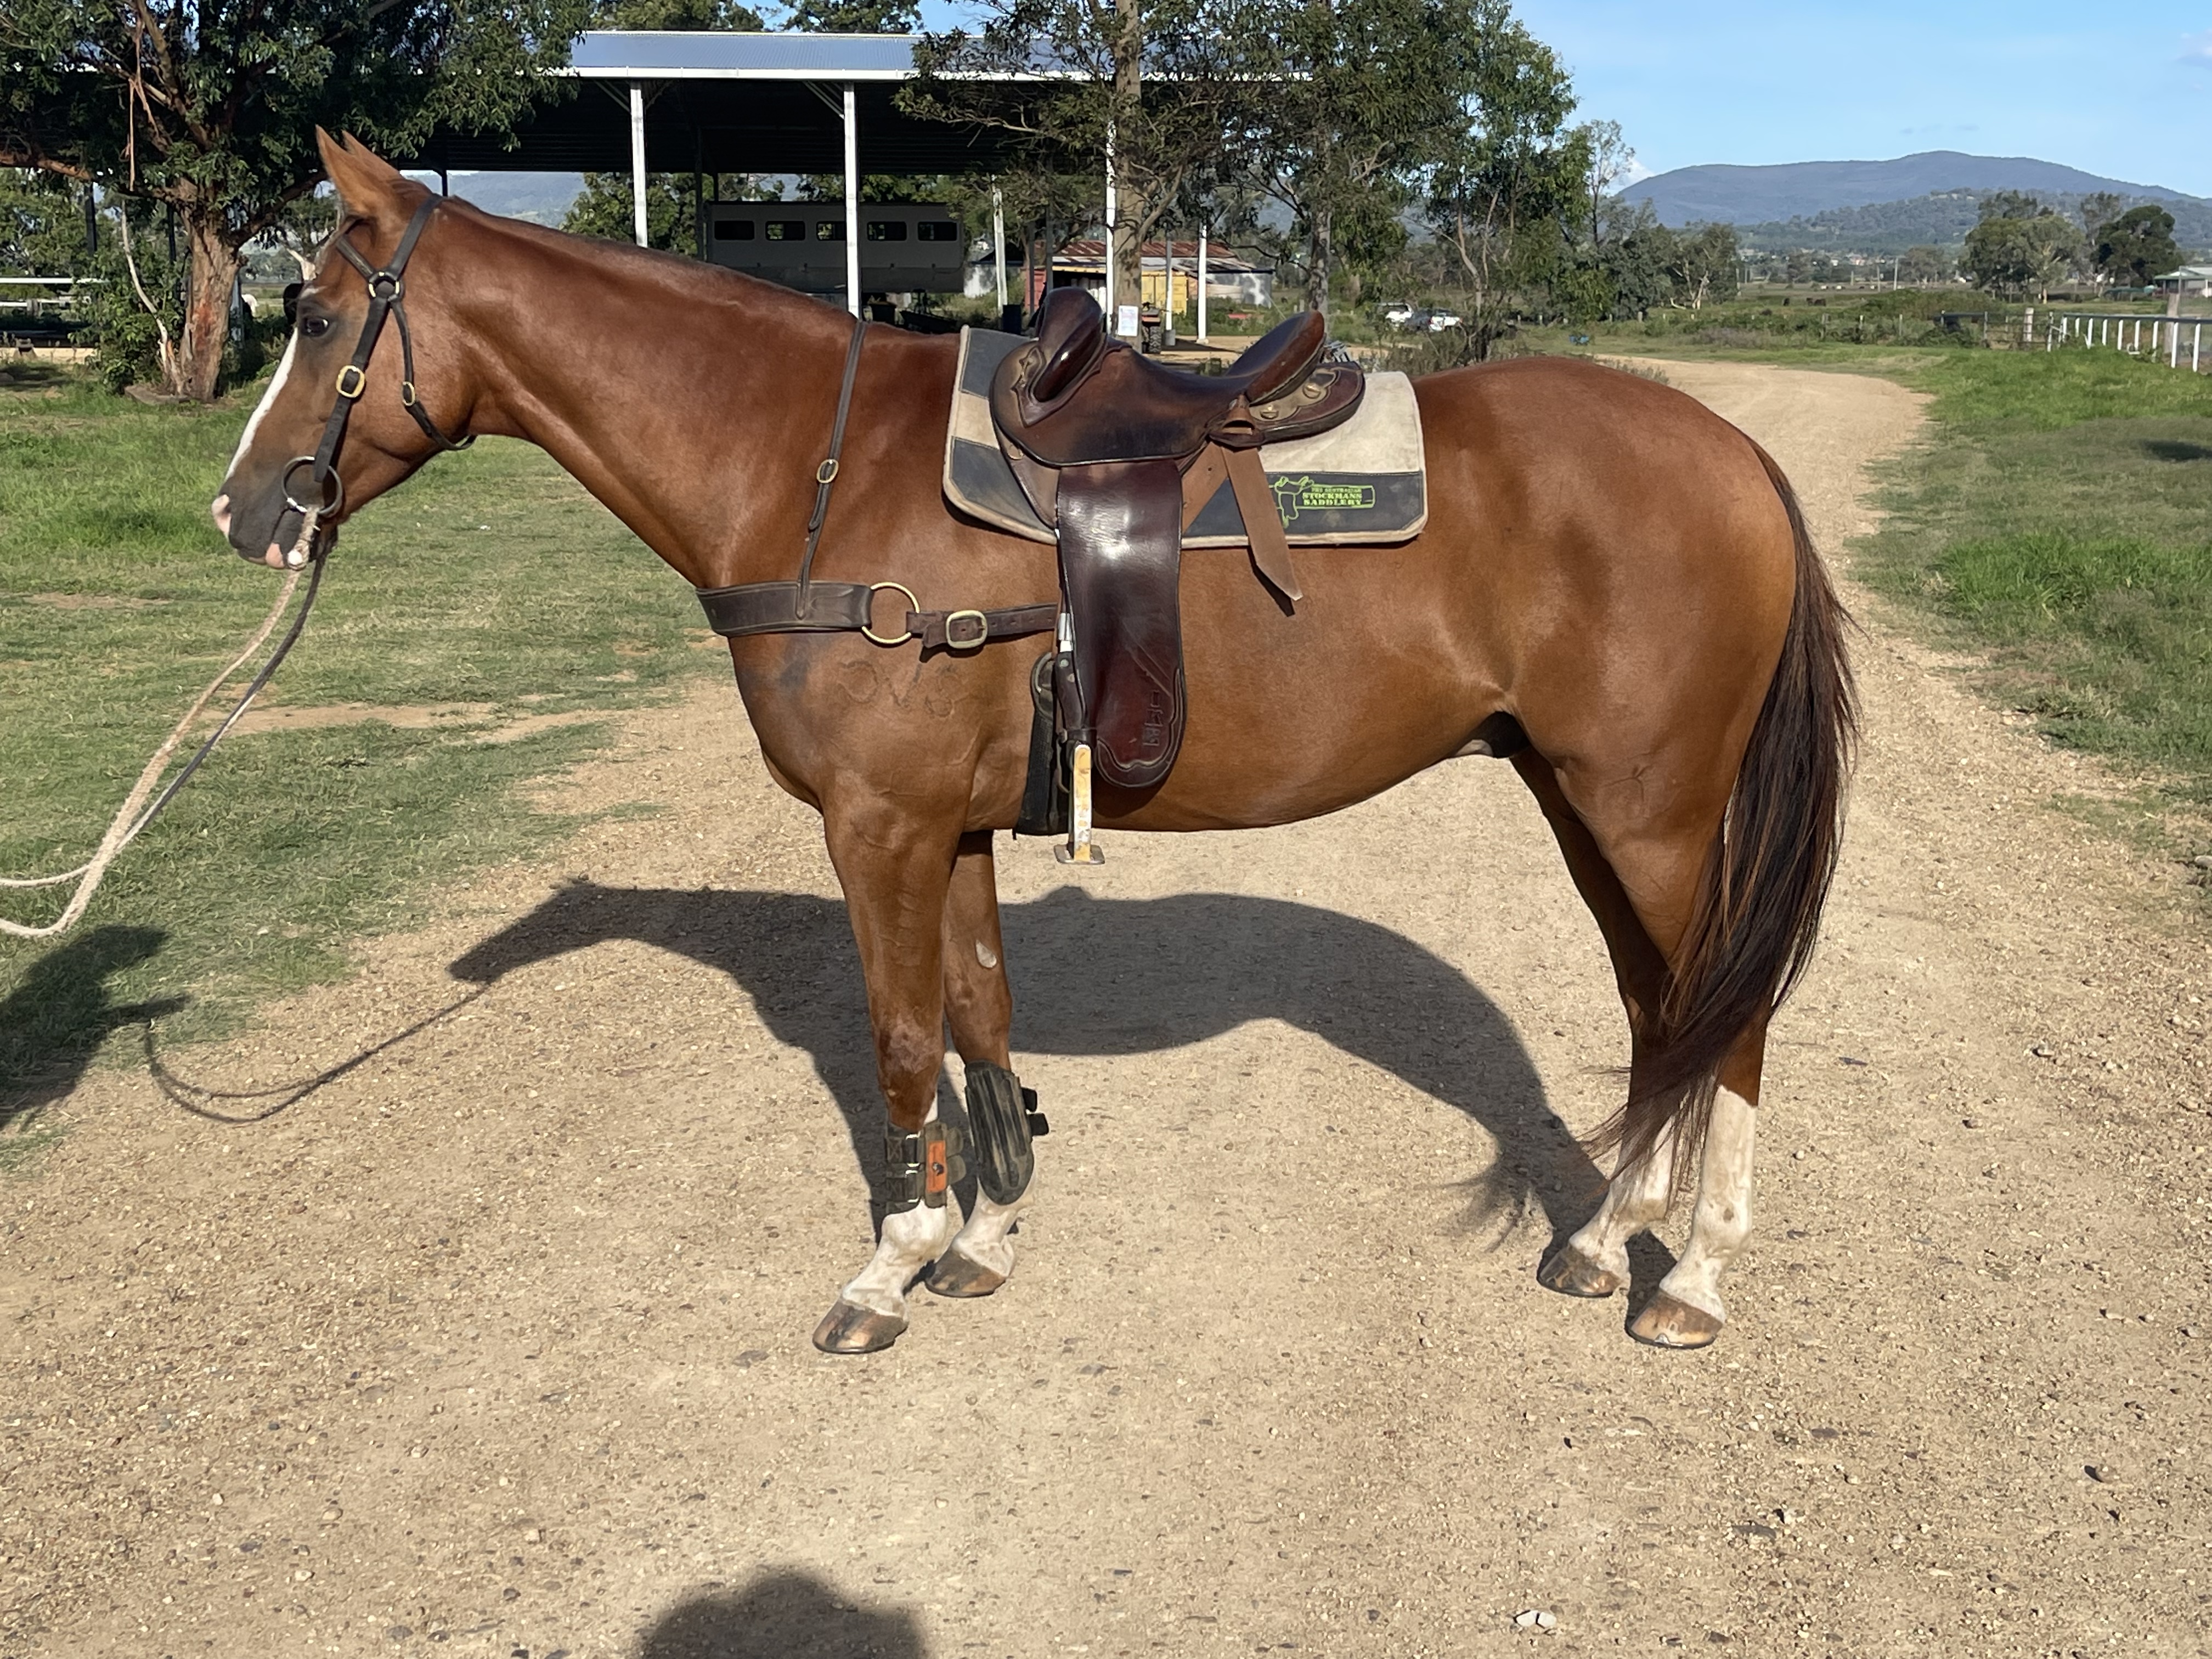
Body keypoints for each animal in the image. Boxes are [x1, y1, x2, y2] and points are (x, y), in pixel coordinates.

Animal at [211, 133, 1853, 1356]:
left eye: (312, 317)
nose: (243, 512)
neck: (816, 471)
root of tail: (1739, 458)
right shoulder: (948, 829)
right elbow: (982, 1023)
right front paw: (986, 1238)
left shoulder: (876, 825)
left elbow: (898, 1044)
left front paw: (891, 1267)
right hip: (1589, 806)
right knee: (1663, 1013)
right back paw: (1606, 1238)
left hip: (1647, 814)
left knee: (1729, 1020)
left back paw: (1693, 1280)